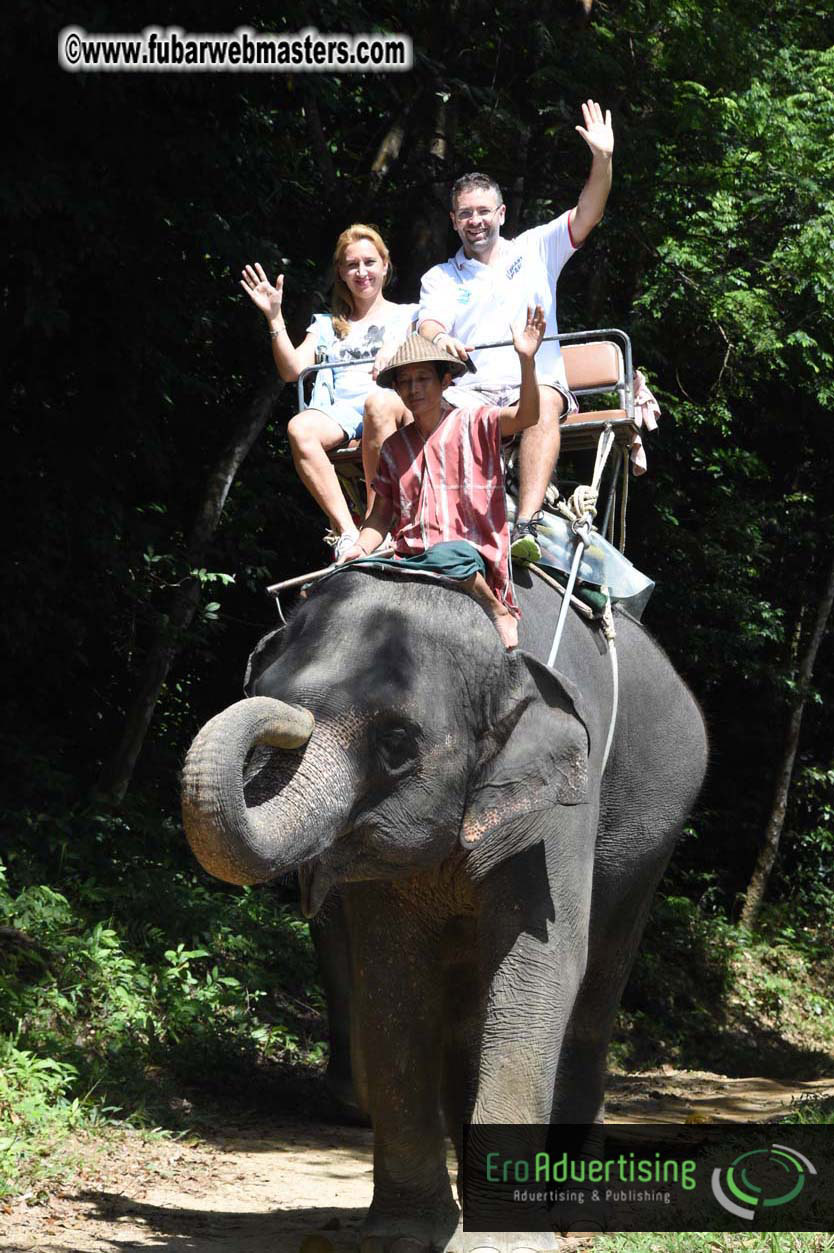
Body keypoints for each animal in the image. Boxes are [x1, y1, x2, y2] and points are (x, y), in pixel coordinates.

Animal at [181, 561, 707, 1251]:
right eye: (260, 685)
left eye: (398, 743)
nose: (279, 712)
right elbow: (392, 981)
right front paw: (403, 1236)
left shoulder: (562, 804)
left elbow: (539, 970)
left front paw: (502, 1242)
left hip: (654, 844)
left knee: (596, 994)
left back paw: (576, 1211)